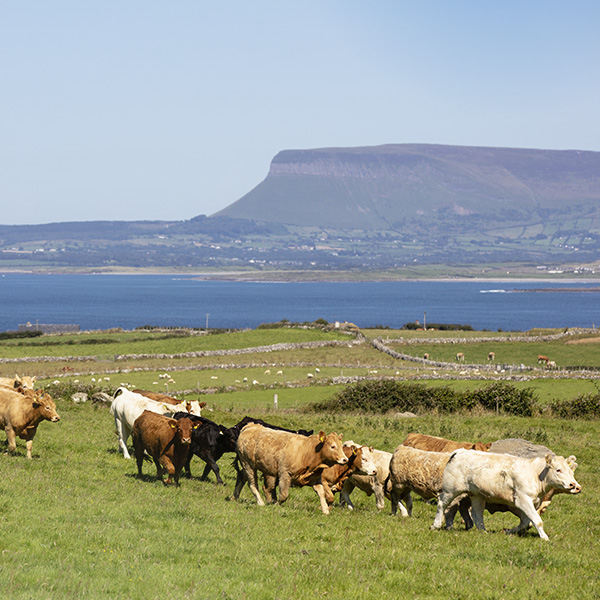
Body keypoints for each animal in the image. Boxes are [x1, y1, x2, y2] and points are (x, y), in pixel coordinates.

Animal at [432, 448, 580, 540]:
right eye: (558, 470)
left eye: (571, 471)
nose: (575, 486)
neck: (535, 473)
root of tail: (460, 451)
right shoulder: (522, 500)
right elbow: (537, 521)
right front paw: (544, 537)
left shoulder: (532, 503)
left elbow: (526, 522)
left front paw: (507, 531)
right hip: (450, 490)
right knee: (442, 504)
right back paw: (436, 525)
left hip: (476, 495)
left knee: (477, 512)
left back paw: (483, 530)